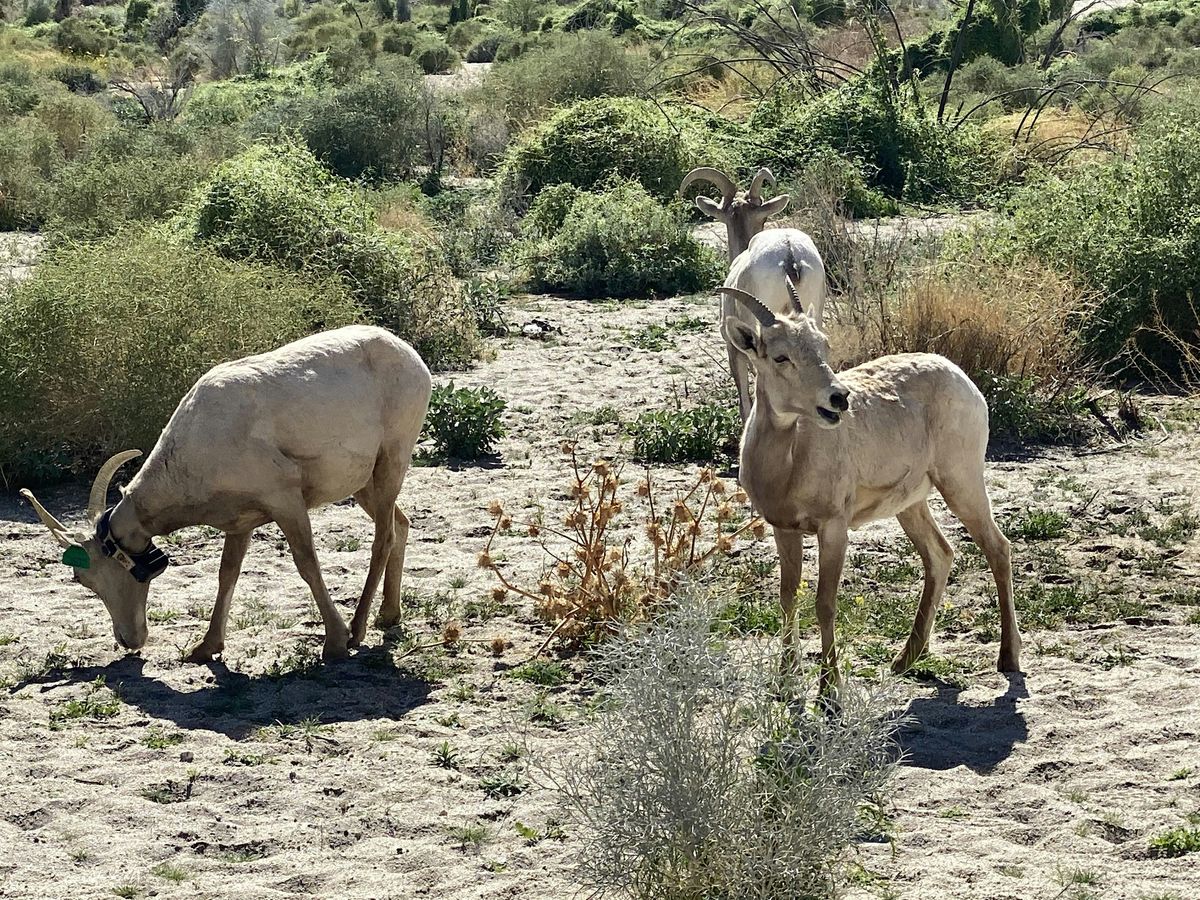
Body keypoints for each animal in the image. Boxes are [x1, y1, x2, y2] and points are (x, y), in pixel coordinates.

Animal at [21, 324, 432, 662]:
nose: (127, 640)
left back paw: (359, 629)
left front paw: (334, 641)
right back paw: (388, 616)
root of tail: (412, 357)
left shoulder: (285, 498)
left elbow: (307, 565)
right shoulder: (241, 520)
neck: (203, 437)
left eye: (83, 576)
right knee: (401, 524)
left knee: (384, 537)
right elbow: (227, 573)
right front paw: (205, 648)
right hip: (364, 484)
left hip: (392, 460)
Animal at [715, 282, 1017, 696]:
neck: (790, 464)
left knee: (997, 548)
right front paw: (786, 682)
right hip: (911, 505)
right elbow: (787, 596)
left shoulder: (833, 528)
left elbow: (824, 603)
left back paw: (1008, 659)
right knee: (940, 554)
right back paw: (905, 659)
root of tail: (962, 379)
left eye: (823, 346)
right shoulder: (784, 529)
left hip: (962, 481)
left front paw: (830, 693)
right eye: (780, 357)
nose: (838, 398)